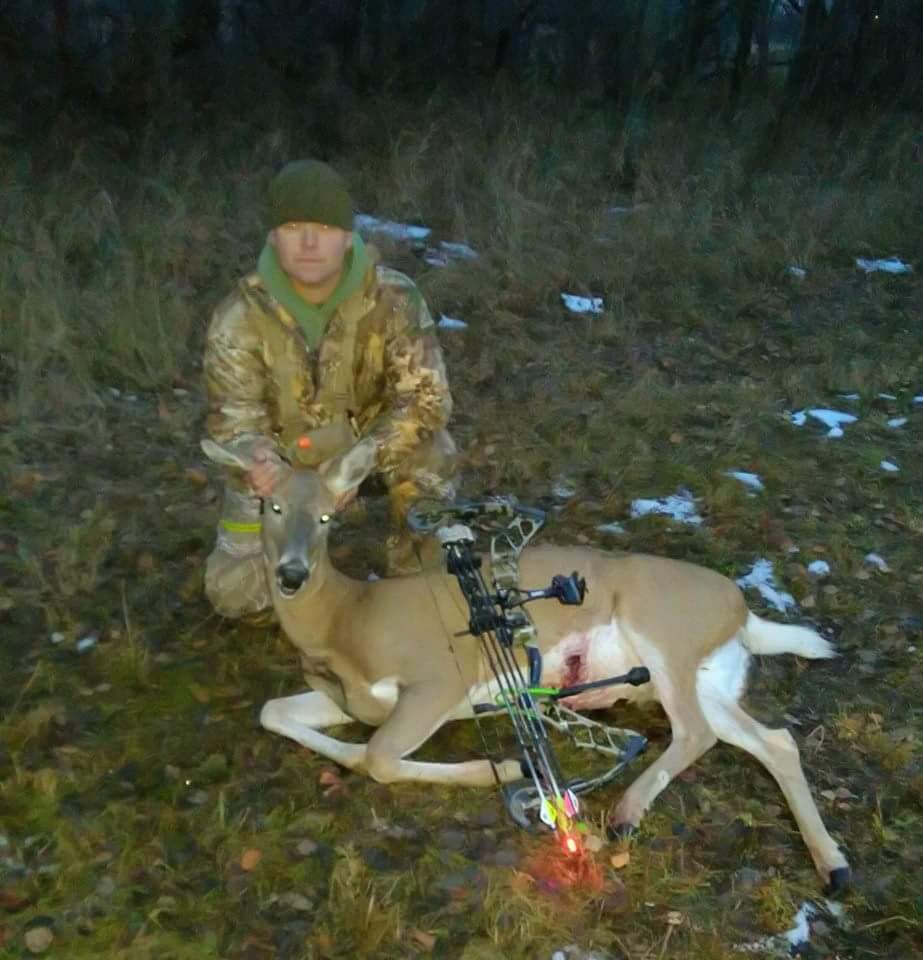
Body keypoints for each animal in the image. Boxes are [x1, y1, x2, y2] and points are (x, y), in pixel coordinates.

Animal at [201, 436, 850, 892]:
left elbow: (380, 755)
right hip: (706, 675)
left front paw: (503, 768)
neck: (347, 622)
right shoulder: (351, 695)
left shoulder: (438, 678)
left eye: (327, 517)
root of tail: (743, 611)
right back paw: (834, 865)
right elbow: (277, 713)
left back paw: (624, 813)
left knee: (696, 732)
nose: (291, 574)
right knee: (773, 740)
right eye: (271, 506)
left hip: (661, 630)